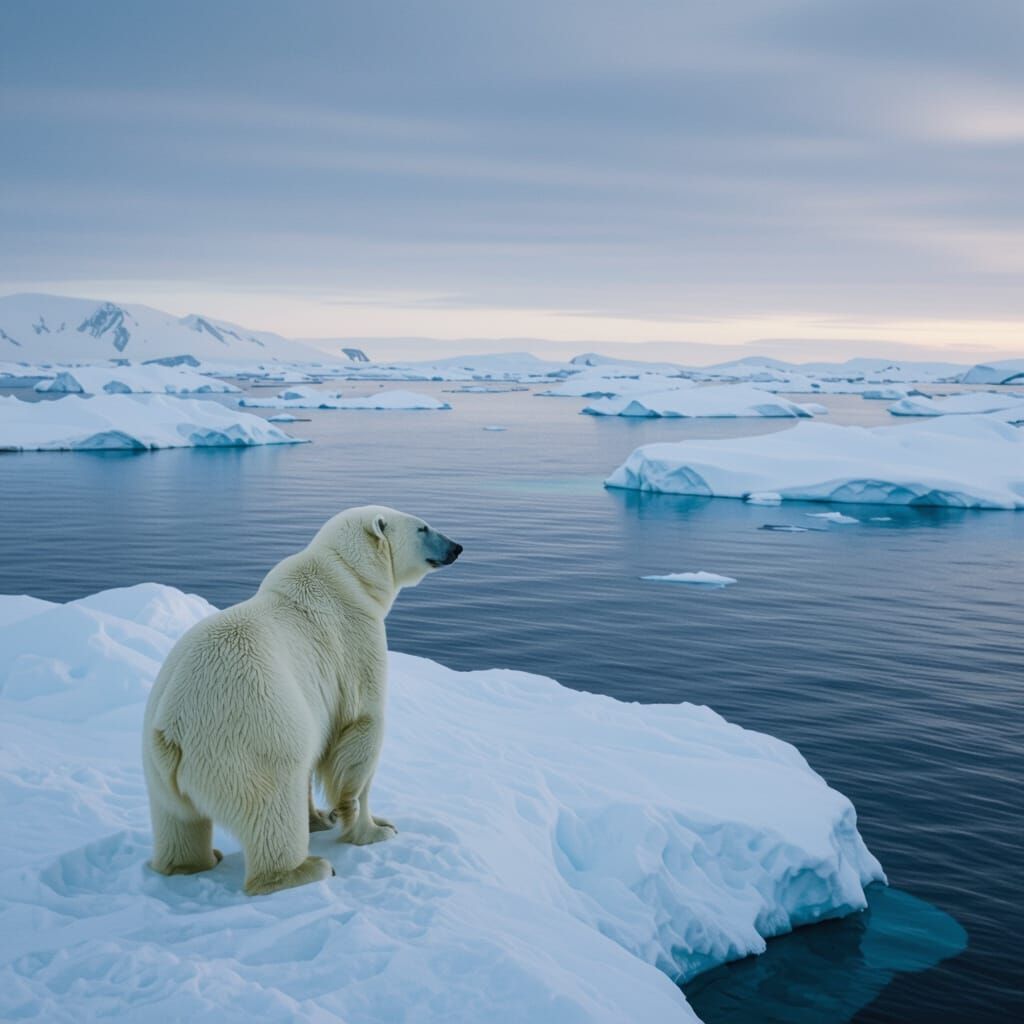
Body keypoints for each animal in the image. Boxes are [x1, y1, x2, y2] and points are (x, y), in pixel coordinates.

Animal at [142, 505, 462, 895]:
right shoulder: (357, 640)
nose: (457, 546)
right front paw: (374, 828)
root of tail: (174, 728)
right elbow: (361, 728)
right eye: (423, 527)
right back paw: (306, 869)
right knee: (272, 804)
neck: (345, 577)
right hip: (251, 735)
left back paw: (193, 862)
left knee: (178, 821)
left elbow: (318, 747)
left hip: (156, 766)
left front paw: (321, 818)